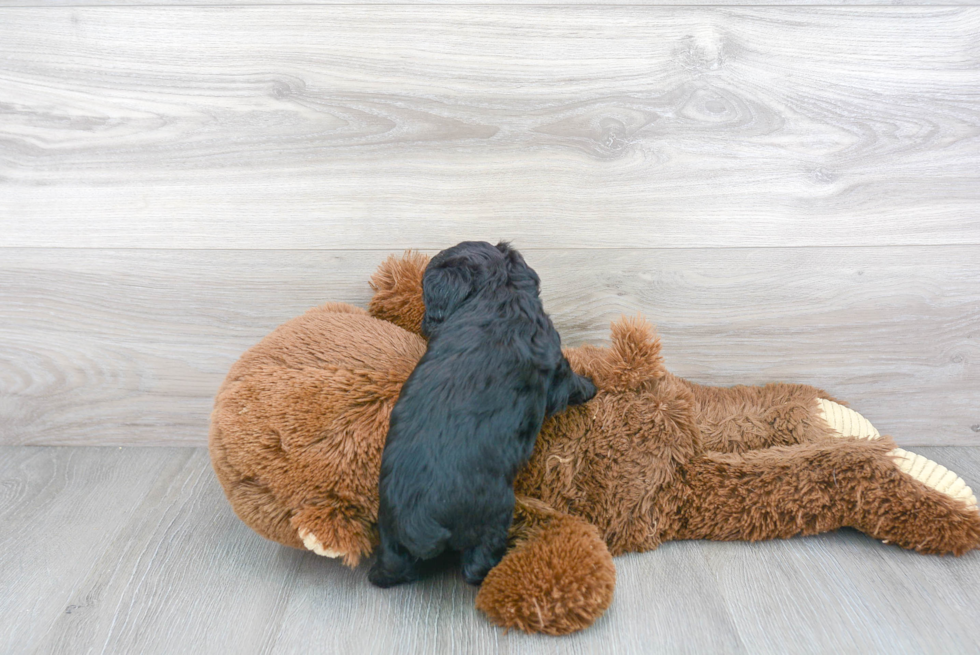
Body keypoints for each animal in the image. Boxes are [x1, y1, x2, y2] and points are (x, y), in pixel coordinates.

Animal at [370, 241, 592, 588]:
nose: (424, 325)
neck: (497, 293)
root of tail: (421, 521)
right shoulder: (555, 365)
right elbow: (570, 382)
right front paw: (592, 386)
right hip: (493, 513)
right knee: (477, 565)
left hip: (390, 535)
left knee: (391, 567)